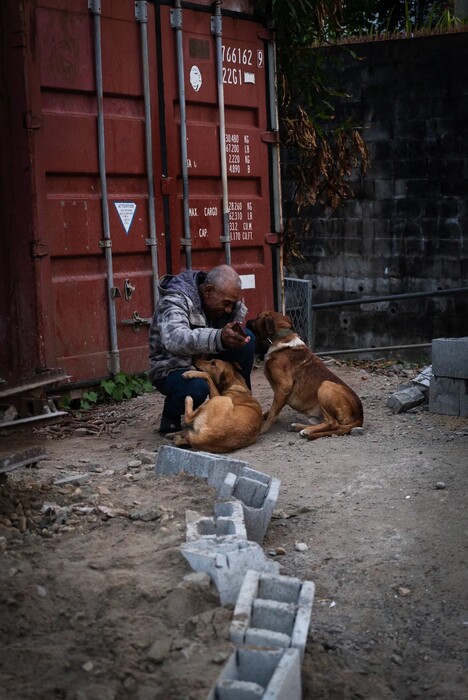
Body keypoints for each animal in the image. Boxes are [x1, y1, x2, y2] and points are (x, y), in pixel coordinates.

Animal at [247, 310, 364, 440]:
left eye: (257, 317)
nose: (247, 322)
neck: (281, 337)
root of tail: (360, 416)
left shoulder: (284, 387)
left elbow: (273, 412)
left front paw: (263, 429)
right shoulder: (280, 393)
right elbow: (272, 410)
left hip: (325, 386)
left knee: (332, 423)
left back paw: (306, 430)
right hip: (316, 415)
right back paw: (298, 427)